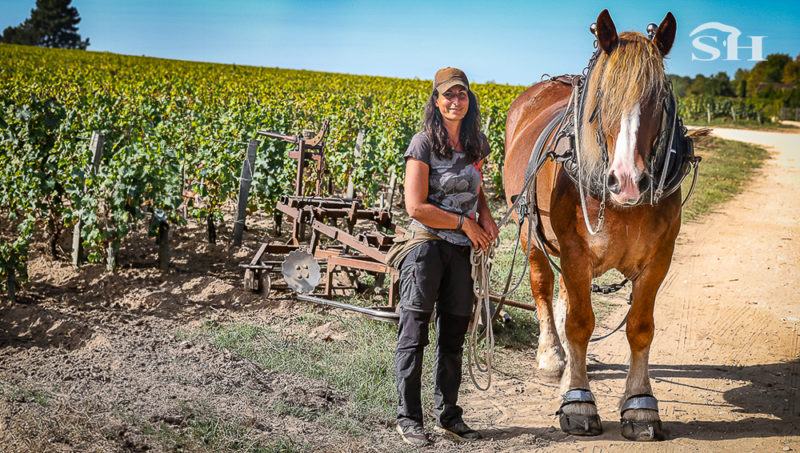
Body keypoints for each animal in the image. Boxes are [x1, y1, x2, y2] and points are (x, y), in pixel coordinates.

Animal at [503, 10, 693, 441]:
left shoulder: (660, 257)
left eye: (659, 98)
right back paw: (553, 359)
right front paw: (577, 400)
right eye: (604, 97)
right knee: (543, 286)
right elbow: (579, 323)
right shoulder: (575, 251)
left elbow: (640, 327)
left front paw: (640, 405)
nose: (626, 180)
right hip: (530, 233)